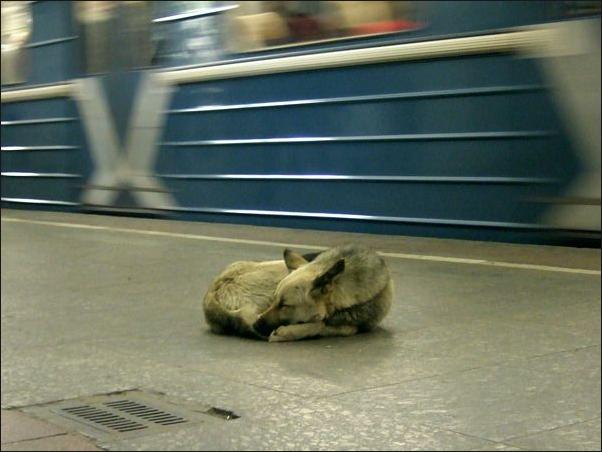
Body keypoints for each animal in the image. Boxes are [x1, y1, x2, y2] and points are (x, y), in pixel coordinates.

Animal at [202, 244, 393, 342]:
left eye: (285, 305)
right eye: (275, 300)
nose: (256, 325)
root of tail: (213, 290)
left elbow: (332, 325)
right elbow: (321, 324)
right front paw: (289, 332)